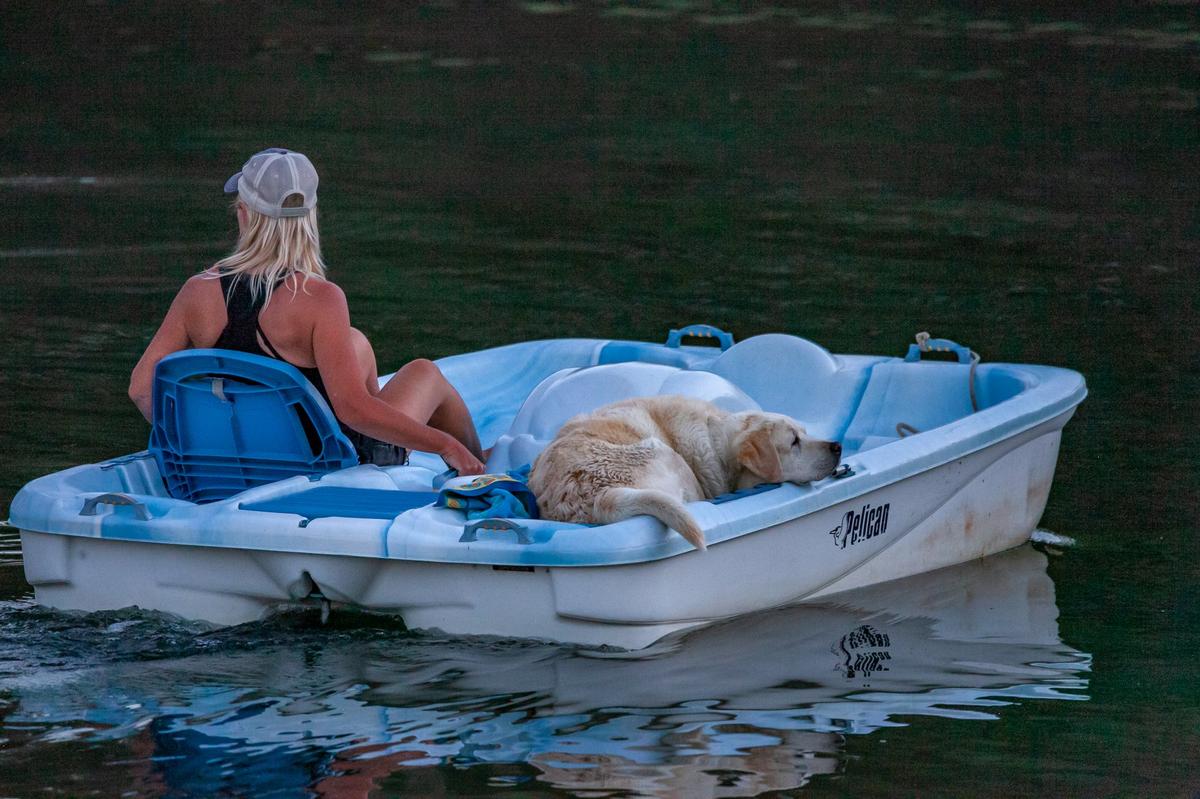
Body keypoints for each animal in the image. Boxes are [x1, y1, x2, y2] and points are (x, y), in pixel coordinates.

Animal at [530, 393, 840, 547]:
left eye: (805, 433)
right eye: (794, 441)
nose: (837, 446)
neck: (717, 440)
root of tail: (601, 496)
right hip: (666, 456)